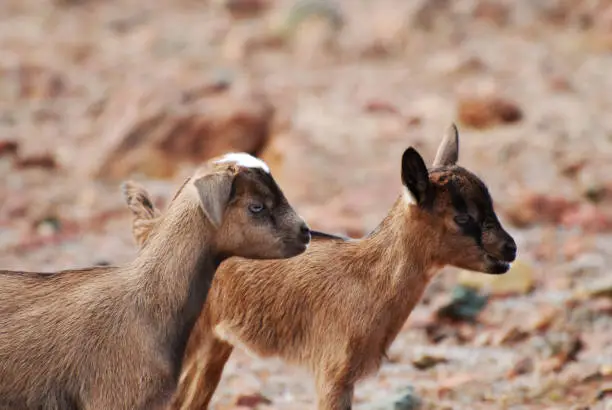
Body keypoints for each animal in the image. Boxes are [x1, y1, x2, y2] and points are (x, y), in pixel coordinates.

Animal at [126, 125, 520, 410]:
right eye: (462, 216)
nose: (510, 248)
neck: (367, 278)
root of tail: (153, 229)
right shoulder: (334, 373)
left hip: (215, 345)